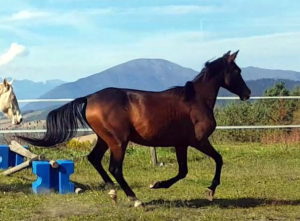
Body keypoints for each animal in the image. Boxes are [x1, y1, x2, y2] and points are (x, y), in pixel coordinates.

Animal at [18, 51, 251, 206]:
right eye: (237, 70)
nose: (247, 93)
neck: (196, 100)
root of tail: (90, 98)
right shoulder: (198, 141)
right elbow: (217, 160)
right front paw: (209, 190)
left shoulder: (181, 144)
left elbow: (183, 170)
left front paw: (158, 184)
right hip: (118, 141)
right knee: (115, 168)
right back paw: (134, 199)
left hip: (105, 139)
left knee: (94, 159)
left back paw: (113, 192)